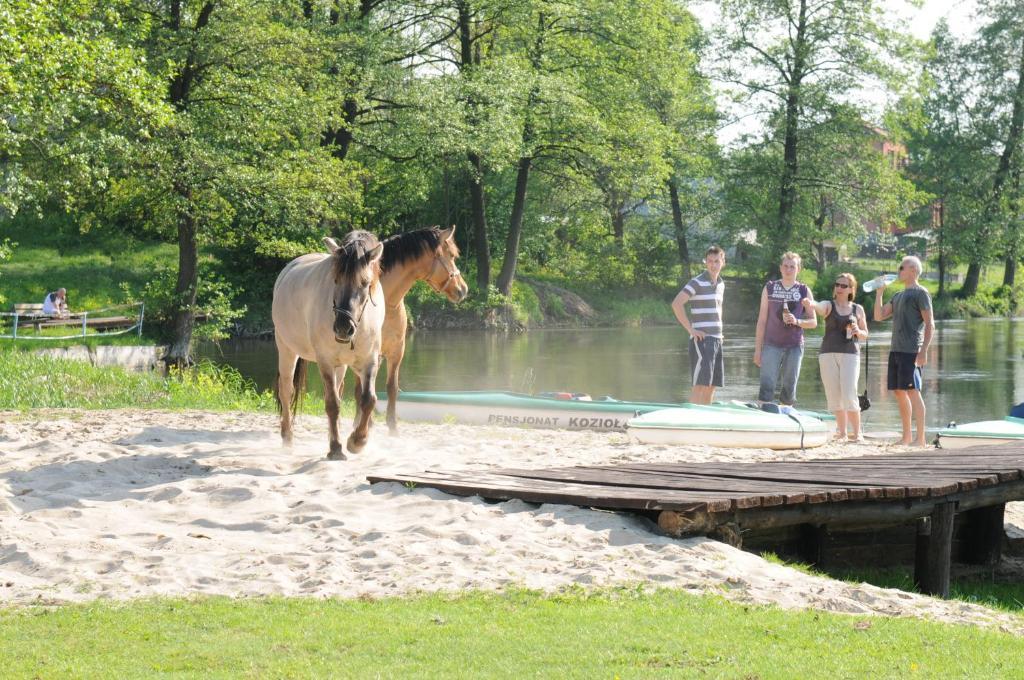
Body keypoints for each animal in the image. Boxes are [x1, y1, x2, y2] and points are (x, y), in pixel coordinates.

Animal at [272, 231, 385, 458]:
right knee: (286, 391)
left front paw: (357, 441)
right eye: (336, 280)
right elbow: (332, 403)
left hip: (340, 365)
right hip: (286, 349)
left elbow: (368, 399)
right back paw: (287, 438)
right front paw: (335, 448)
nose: (343, 327)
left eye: (365, 283)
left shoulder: (369, 361)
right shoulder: (325, 361)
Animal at [354, 225, 468, 432]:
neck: (386, 303)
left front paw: (392, 427)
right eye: (451, 255)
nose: (463, 289)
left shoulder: (397, 351)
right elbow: (361, 390)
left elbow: (392, 388)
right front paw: (361, 424)